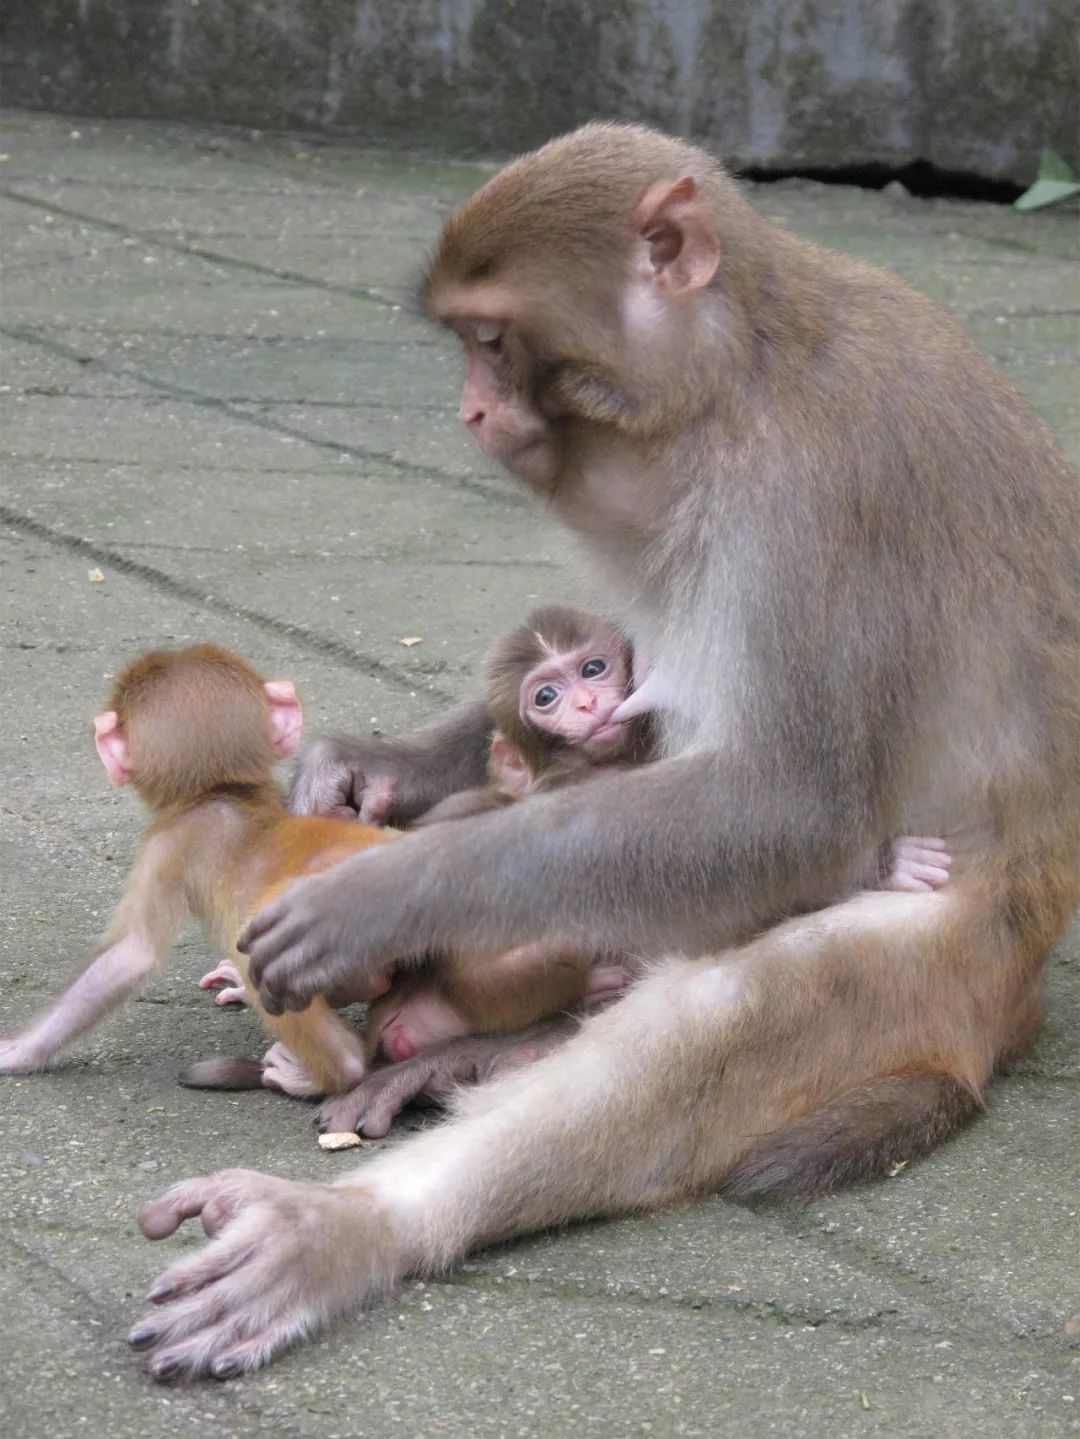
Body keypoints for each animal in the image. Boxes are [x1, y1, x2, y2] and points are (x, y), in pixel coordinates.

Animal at [128, 126, 1080, 1381]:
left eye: (491, 340)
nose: (471, 410)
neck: (740, 380)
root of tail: (1022, 996)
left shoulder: (823, 487)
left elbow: (790, 805)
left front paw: (384, 892)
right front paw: (372, 771)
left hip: (945, 964)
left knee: (718, 1014)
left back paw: (351, 1224)